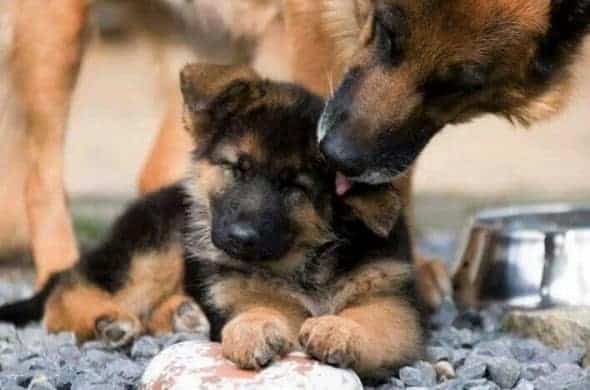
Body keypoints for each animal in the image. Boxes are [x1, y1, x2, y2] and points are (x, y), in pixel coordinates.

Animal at [0, 64, 426, 380]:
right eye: (238, 168)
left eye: (294, 186)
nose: (240, 238)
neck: (305, 262)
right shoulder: (240, 292)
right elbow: (259, 307)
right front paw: (253, 328)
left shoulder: (396, 304)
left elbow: (374, 320)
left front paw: (338, 328)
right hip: (159, 245)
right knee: (66, 291)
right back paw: (110, 320)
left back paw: (182, 316)